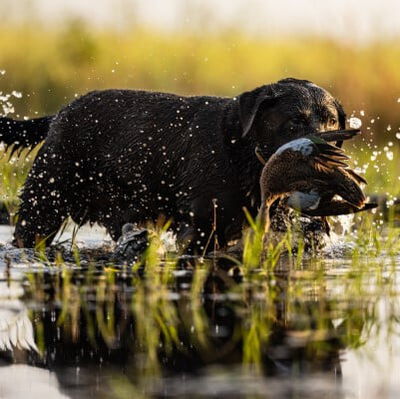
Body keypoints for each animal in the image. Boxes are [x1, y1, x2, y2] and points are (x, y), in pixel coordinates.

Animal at [0, 77, 346, 252]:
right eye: (294, 122)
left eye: (332, 121)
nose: (330, 155)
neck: (241, 152)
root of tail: (59, 115)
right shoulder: (200, 227)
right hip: (44, 204)